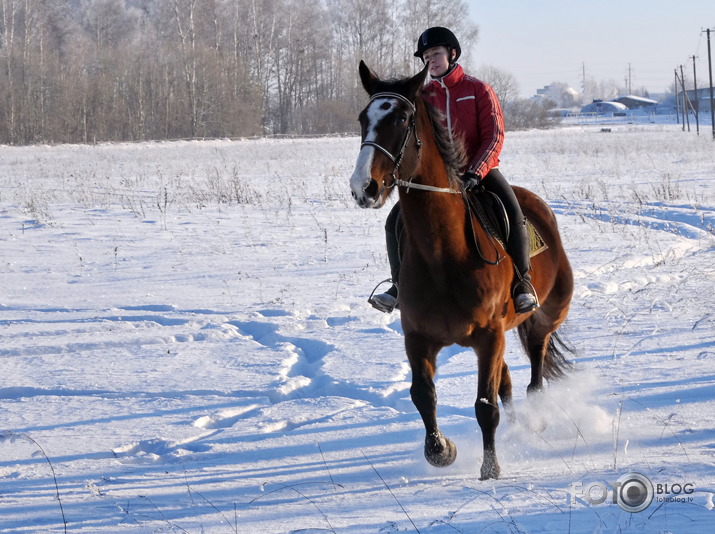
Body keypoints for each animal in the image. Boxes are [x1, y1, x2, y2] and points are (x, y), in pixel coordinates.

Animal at [350, 61, 572, 482]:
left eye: (401, 119)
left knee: (534, 374)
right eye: (362, 118)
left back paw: (534, 421)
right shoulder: (417, 337)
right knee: (508, 382)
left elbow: (485, 405)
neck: (443, 256)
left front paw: (490, 467)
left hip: (545, 317)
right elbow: (423, 395)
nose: (363, 187)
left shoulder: (489, 337)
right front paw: (441, 450)